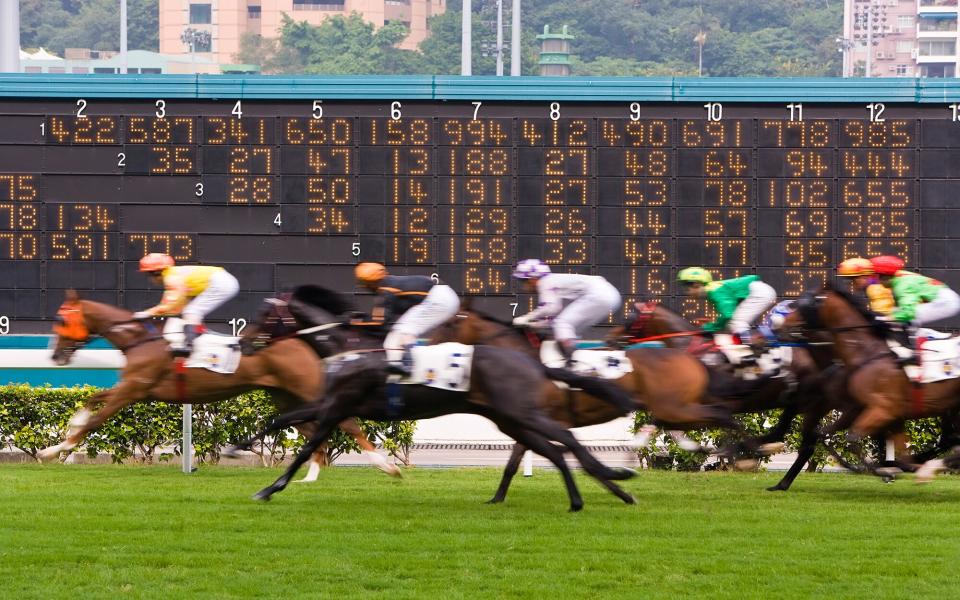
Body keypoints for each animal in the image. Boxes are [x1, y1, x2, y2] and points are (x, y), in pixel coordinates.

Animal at [43, 288, 396, 478]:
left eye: (61, 320)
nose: (55, 355)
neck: (139, 339)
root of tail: (300, 339)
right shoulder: (132, 388)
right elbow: (90, 402)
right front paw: (59, 442)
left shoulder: (134, 389)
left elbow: (96, 420)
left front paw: (55, 449)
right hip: (283, 394)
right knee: (311, 429)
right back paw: (312, 471)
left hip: (305, 387)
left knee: (346, 422)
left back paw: (386, 465)